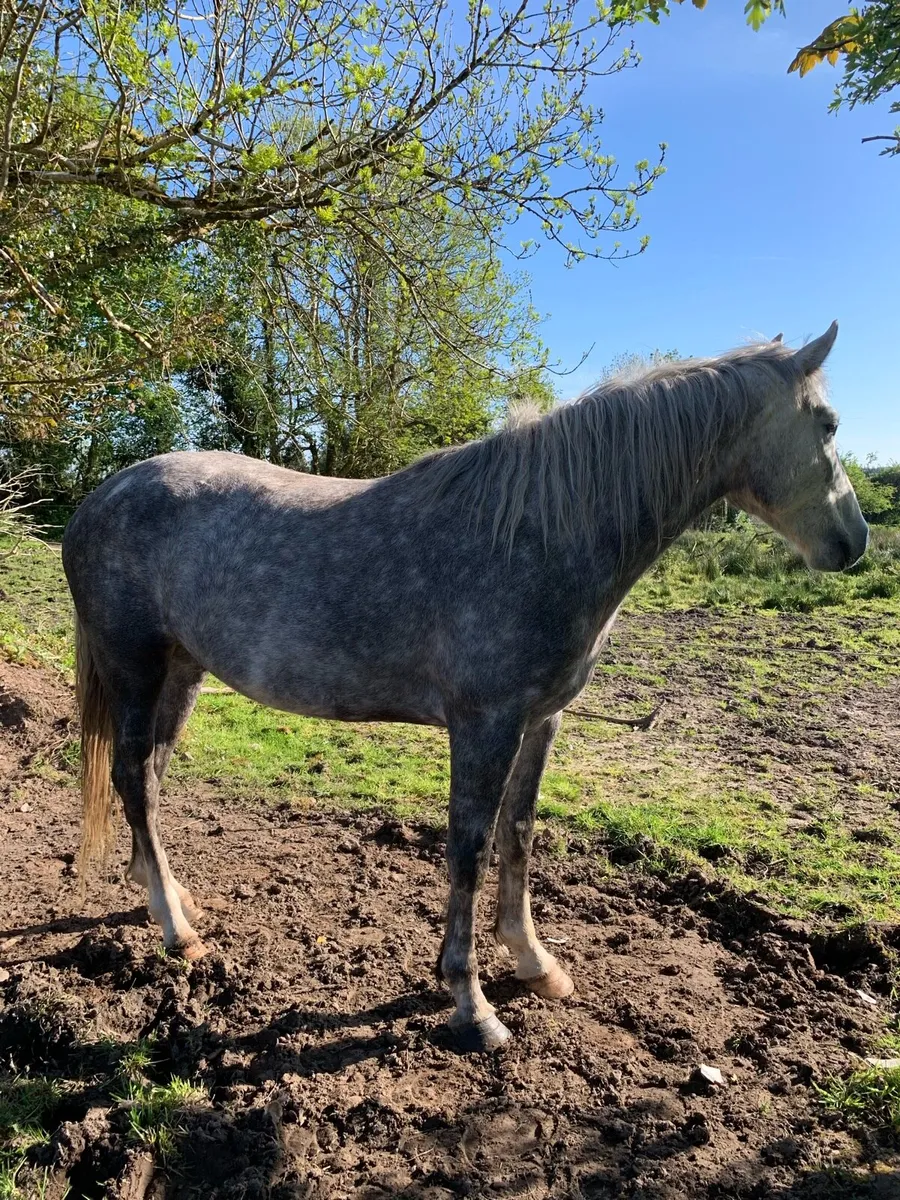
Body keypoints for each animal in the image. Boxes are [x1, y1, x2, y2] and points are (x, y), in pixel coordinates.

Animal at [62, 321, 867, 1052]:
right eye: (827, 424)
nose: (854, 542)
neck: (541, 533)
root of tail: (98, 497)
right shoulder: (485, 723)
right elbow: (470, 849)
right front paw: (471, 1004)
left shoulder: (542, 720)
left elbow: (519, 835)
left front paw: (536, 963)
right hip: (135, 667)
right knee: (131, 777)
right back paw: (176, 930)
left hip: (182, 671)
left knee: (151, 778)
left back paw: (167, 898)